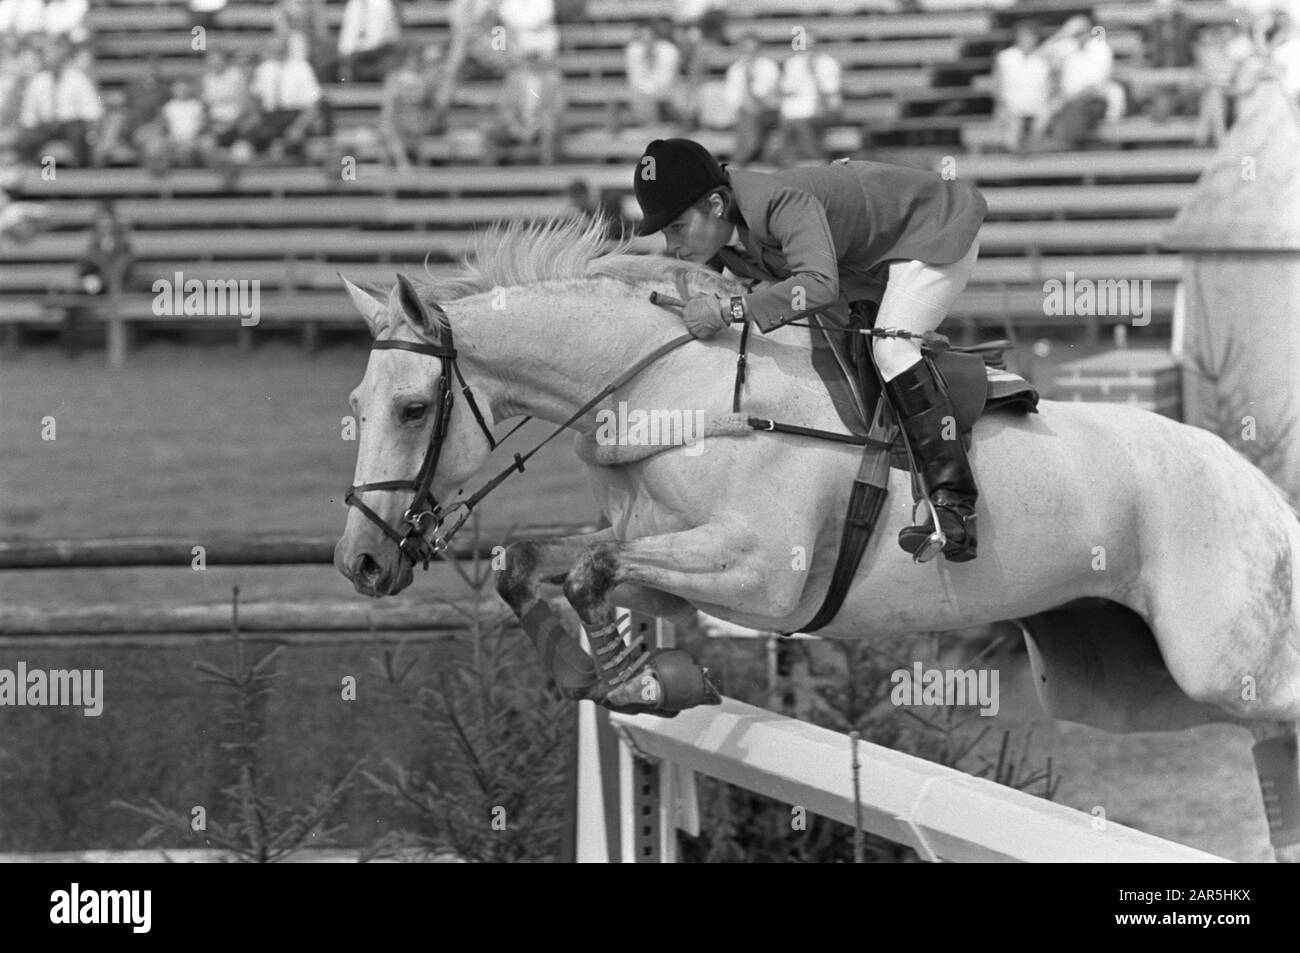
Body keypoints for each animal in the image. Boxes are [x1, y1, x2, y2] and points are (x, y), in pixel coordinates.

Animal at [335, 219, 1300, 858]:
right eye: (356, 406)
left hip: (1219, 658)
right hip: (1128, 681)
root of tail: (1259, 487)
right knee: (1263, 745)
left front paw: (644, 680)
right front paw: (607, 674)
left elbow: (589, 571)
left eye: (413, 408)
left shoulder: (757, 573)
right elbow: (541, 565)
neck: (670, 391)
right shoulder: (670, 561)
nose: (361, 562)